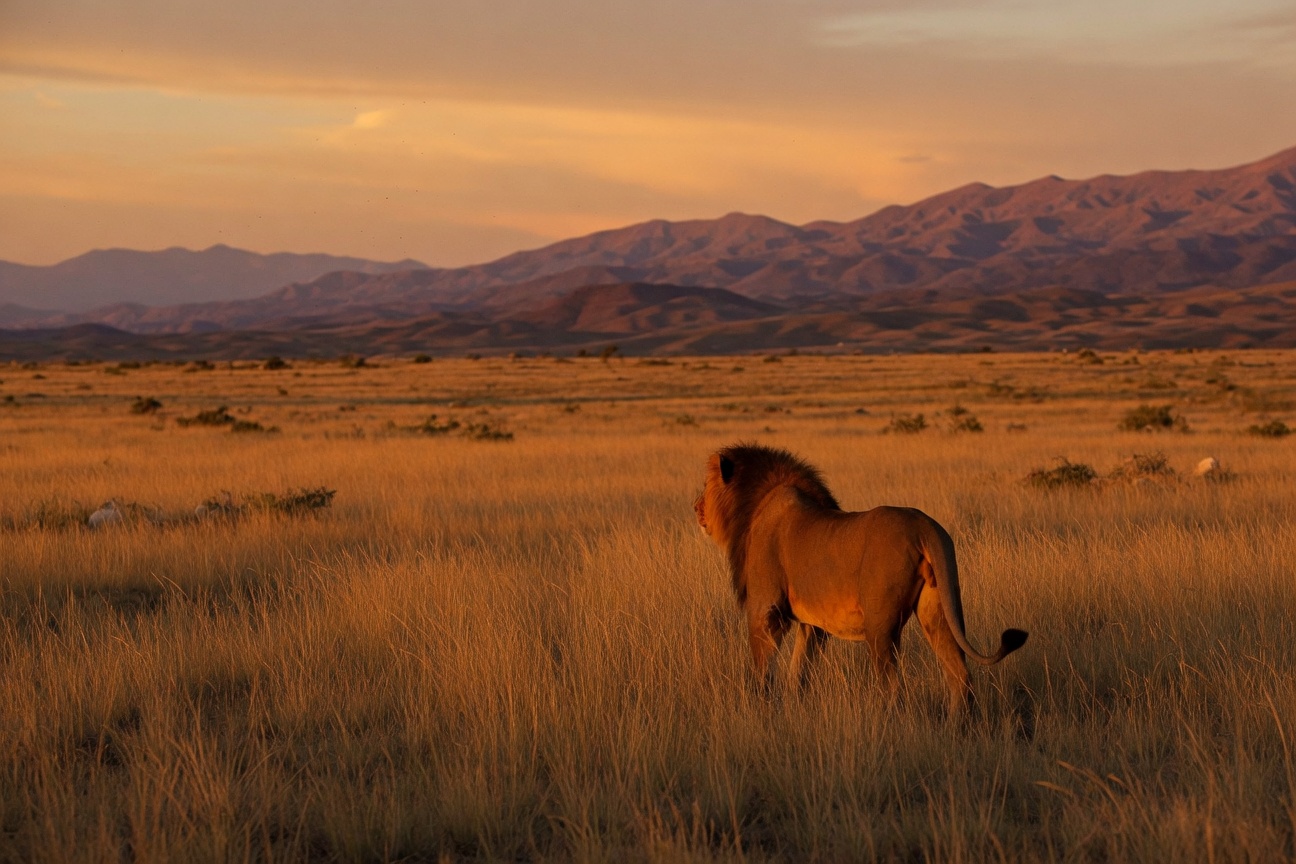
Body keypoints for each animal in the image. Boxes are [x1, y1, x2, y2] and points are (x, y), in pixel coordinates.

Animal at [694, 444, 1027, 710]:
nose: (695, 508)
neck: (757, 504)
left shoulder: (766, 610)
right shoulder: (813, 626)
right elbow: (798, 672)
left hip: (880, 626)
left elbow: (764, 670)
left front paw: (763, 708)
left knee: (893, 687)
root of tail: (925, 527)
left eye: (706, 485)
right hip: (938, 610)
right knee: (960, 675)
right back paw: (956, 731)